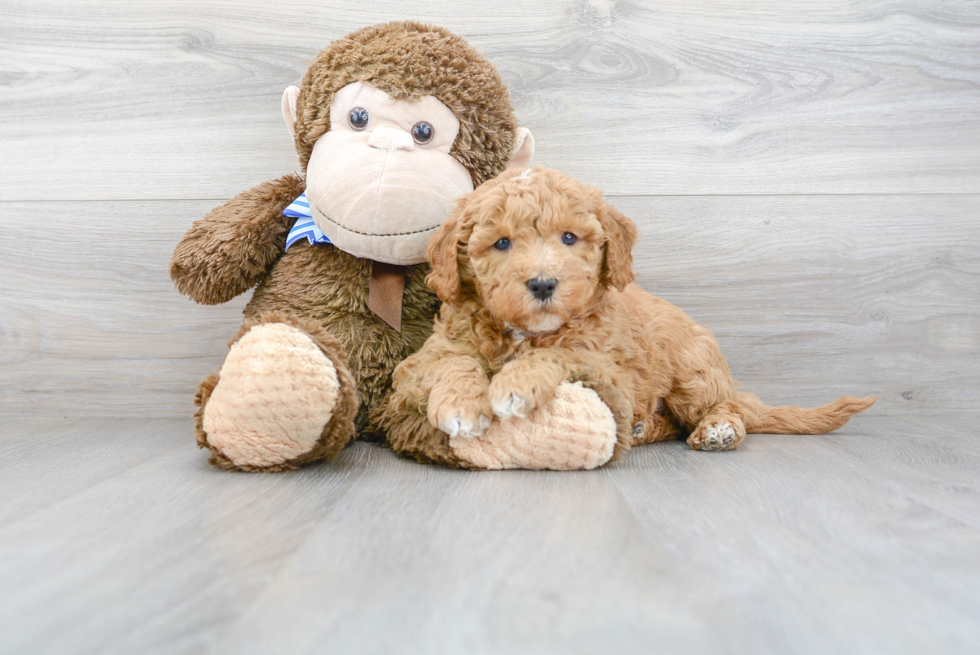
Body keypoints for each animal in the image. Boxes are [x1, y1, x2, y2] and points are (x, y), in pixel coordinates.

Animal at [388, 167, 872, 454]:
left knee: (727, 408)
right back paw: (643, 429)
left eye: (569, 238)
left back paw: (718, 430)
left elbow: (559, 352)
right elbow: (453, 363)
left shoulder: (610, 367)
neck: (525, 332)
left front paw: (516, 384)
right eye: (502, 243)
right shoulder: (421, 361)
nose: (543, 284)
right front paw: (460, 405)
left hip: (692, 372)